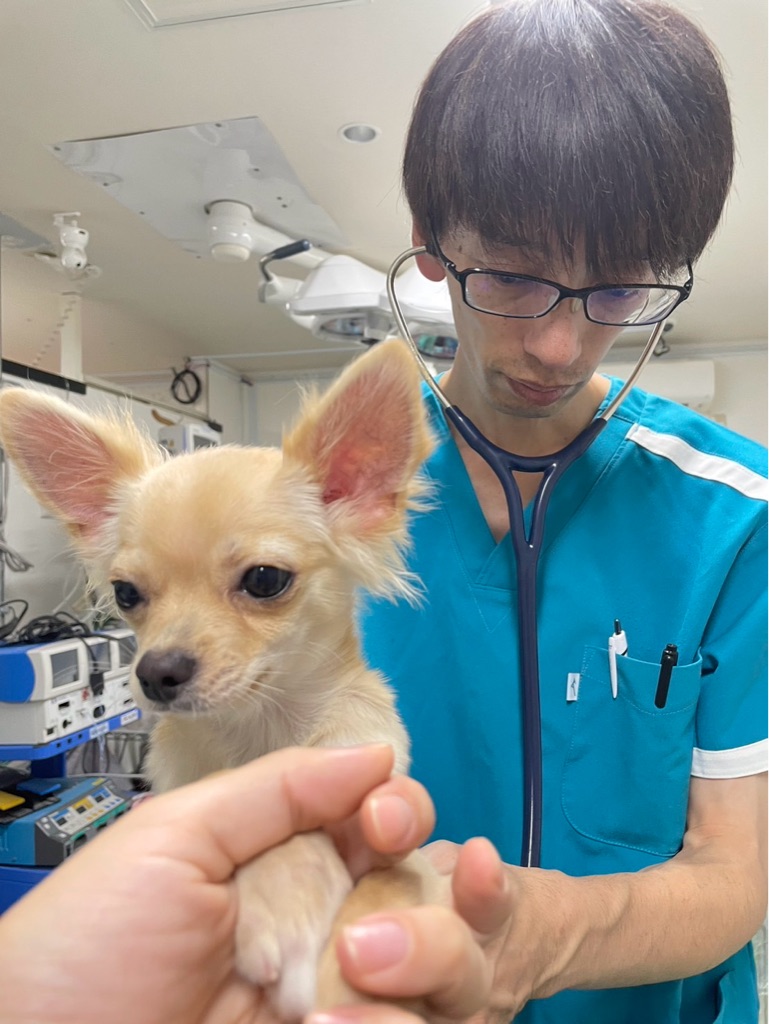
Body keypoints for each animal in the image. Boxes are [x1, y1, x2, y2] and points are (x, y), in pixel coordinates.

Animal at [0, 338, 442, 1018]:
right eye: (126, 593)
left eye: (264, 580)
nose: (156, 672)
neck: (257, 733)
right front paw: (286, 896)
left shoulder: (404, 844)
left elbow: (382, 884)